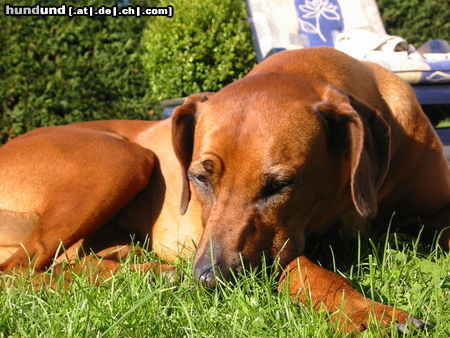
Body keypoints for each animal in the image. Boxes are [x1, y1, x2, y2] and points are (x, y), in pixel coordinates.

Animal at [0, 47, 448, 332]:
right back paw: (152, 273)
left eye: (280, 184)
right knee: (19, 270)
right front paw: (368, 313)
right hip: (123, 157)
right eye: (200, 178)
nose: (210, 280)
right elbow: (305, 267)